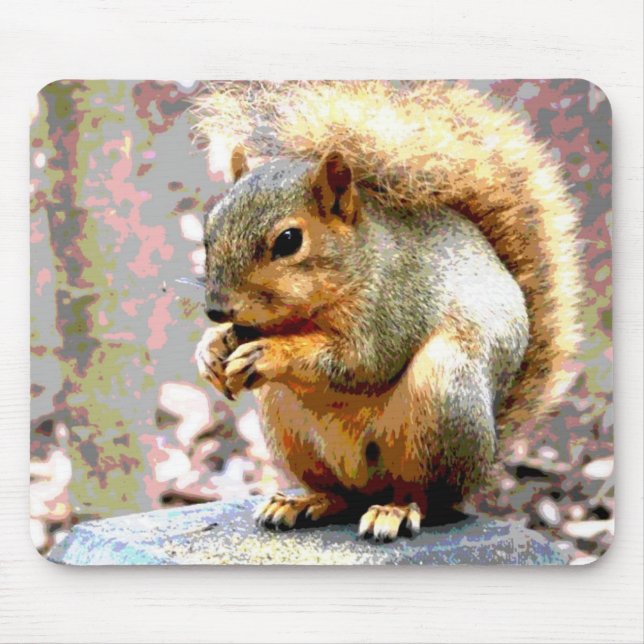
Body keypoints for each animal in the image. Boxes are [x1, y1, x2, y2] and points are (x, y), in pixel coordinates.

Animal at [192, 81, 583, 541]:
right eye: (209, 229)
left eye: (289, 240)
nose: (216, 310)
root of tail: (485, 458)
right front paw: (210, 350)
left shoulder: (395, 304)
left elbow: (363, 362)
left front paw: (271, 353)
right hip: (287, 423)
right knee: (340, 497)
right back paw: (304, 502)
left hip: (443, 394)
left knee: (426, 497)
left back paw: (394, 511)